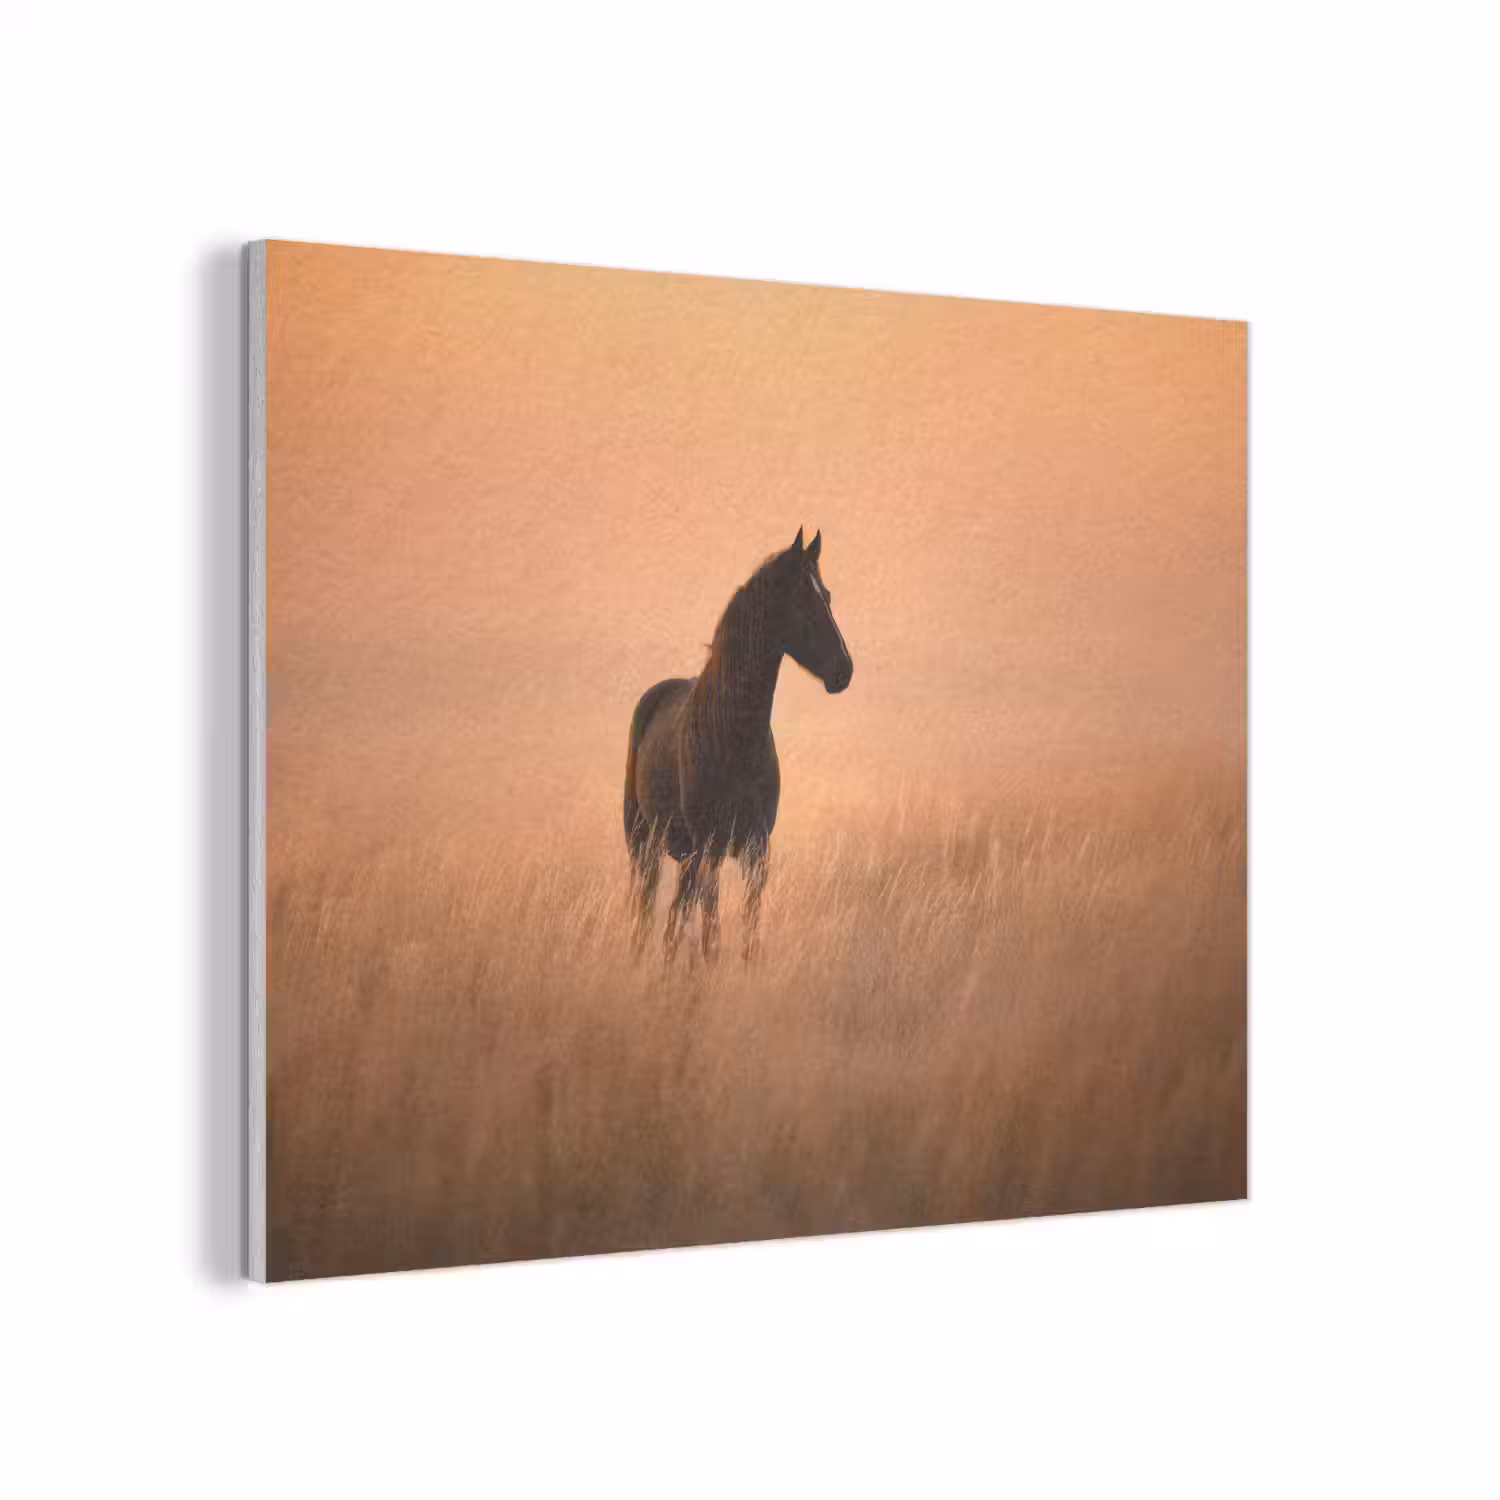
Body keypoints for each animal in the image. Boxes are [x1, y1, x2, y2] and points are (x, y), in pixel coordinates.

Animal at [623, 527, 854, 962]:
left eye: (828, 596)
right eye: (802, 600)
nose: (844, 671)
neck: (734, 737)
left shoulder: (756, 851)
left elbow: (748, 936)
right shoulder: (711, 851)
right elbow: (711, 938)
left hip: (686, 856)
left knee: (674, 920)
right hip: (644, 842)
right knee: (647, 913)